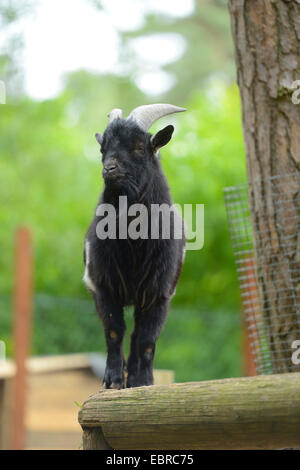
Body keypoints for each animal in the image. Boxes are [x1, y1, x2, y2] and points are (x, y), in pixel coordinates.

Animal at [84, 104, 185, 388]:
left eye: (140, 147)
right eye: (102, 148)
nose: (110, 168)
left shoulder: (159, 294)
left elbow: (147, 341)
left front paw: (143, 382)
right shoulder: (103, 286)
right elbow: (114, 331)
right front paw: (113, 380)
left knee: (138, 337)